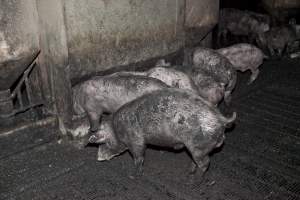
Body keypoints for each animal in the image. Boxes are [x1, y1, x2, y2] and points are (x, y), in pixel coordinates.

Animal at [89, 88, 237, 178]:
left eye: (104, 142)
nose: (98, 158)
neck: (116, 129)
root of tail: (222, 119)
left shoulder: (136, 140)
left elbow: (139, 157)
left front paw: (132, 175)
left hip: (198, 146)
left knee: (205, 163)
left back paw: (193, 181)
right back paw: (188, 172)